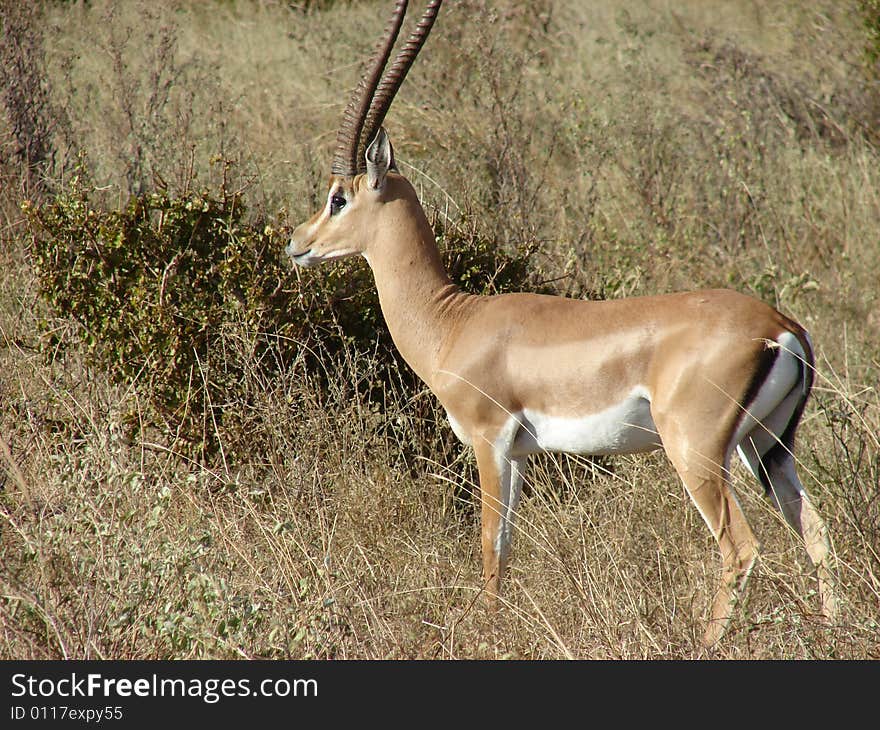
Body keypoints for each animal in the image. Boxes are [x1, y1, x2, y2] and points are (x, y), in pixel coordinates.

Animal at [288, 1, 840, 648]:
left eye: (338, 198)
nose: (297, 243)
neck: (453, 320)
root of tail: (781, 327)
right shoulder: (523, 454)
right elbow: (507, 546)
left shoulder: (491, 441)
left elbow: (490, 546)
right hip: (767, 448)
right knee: (817, 533)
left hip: (697, 451)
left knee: (741, 547)